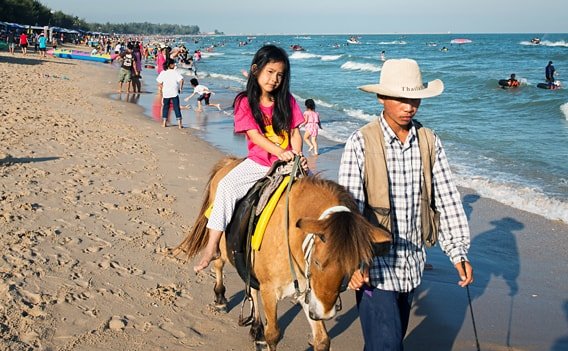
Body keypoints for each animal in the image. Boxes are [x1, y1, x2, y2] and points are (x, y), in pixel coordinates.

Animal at [175, 157, 392, 351]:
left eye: (353, 266)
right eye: (318, 262)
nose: (324, 313)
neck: (291, 236)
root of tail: (229, 162)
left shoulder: (307, 291)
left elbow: (322, 340)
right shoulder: (271, 291)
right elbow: (273, 334)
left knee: (251, 286)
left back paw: (256, 329)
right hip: (221, 242)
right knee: (219, 263)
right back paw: (220, 298)